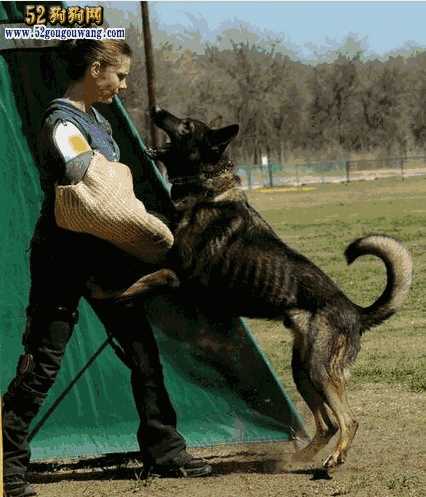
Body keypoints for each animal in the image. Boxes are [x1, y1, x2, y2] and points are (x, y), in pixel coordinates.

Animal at [94, 106, 412, 466]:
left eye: (186, 125)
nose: (156, 110)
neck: (207, 188)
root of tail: (356, 312)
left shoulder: (175, 274)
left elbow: (137, 283)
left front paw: (110, 295)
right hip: (301, 371)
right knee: (328, 424)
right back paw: (299, 459)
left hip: (319, 370)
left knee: (348, 420)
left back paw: (334, 459)